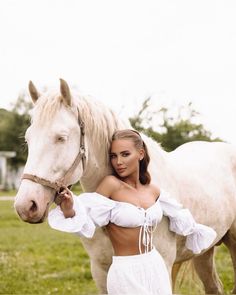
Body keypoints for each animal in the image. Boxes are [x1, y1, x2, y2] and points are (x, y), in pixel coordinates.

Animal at [14, 79, 236, 295]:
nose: (26, 206)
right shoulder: (100, 271)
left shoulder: (162, 265)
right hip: (203, 252)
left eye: (61, 137)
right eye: (28, 139)